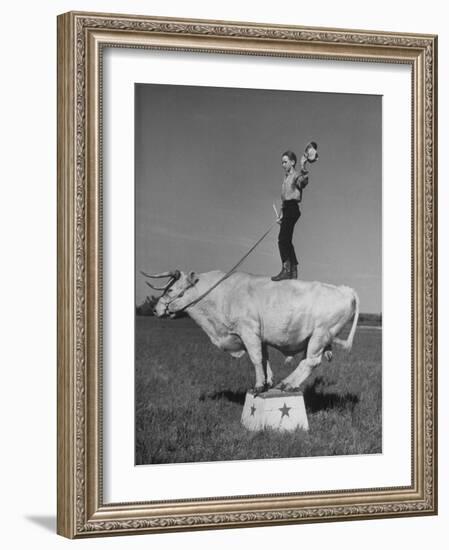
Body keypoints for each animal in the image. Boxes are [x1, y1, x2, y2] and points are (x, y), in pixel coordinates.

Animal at [149, 270, 358, 392]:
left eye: (171, 290)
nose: (154, 309)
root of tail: (345, 290)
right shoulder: (259, 337)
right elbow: (264, 359)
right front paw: (268, 382)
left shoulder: (248, 331)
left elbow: (256, 359)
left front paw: (258, 386)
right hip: (314, 339)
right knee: (306, 361)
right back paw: (286, 383)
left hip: (320, 335)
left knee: (311, 362)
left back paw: (288, 384)